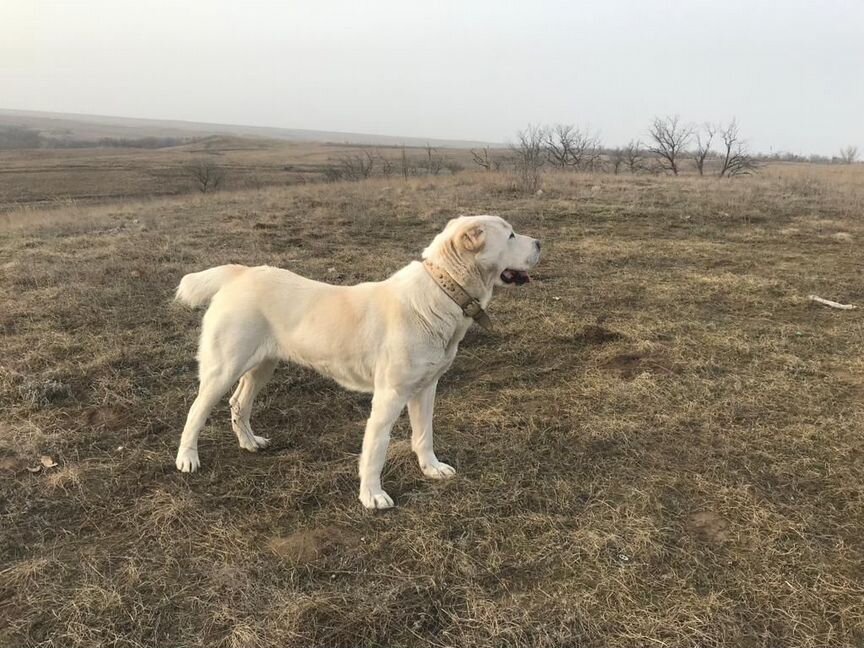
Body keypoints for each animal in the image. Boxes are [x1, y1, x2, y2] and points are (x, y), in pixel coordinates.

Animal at [175, 215, 540, 508]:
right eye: (510, 235)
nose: (540, 243)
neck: (444, 289)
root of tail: (240, 273)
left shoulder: (425, 389)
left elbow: (424, 435)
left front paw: (431, 468)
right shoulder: (390, 395)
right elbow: (376, 449)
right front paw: (372, 496)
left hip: (262, 366)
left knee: (239, 402)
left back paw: (249, 442)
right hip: (224, 369)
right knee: (196, 412)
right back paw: (187, 459)